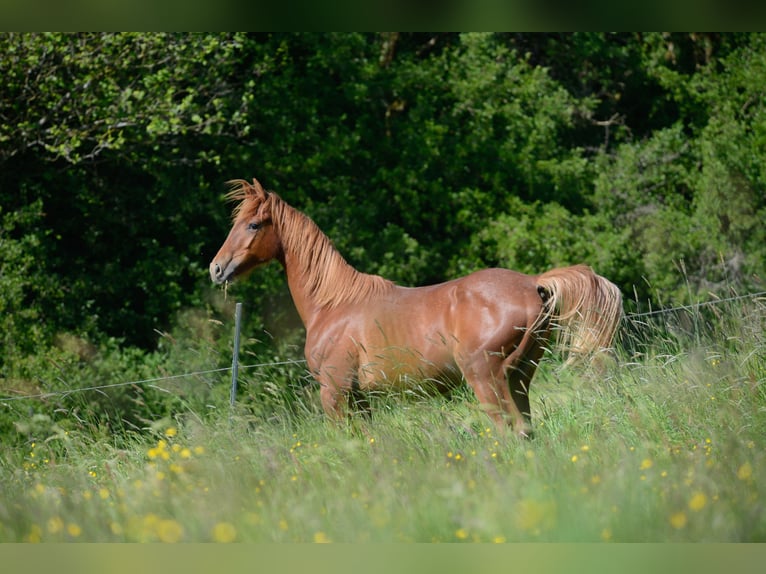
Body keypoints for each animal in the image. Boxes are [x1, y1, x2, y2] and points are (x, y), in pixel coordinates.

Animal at [212, 180, 624, 436]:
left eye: (253, 225)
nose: (216, 268)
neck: (334, 303)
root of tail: (533, 284)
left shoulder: (334, 393)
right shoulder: (361, 399)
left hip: (488, 380)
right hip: (520, 379)